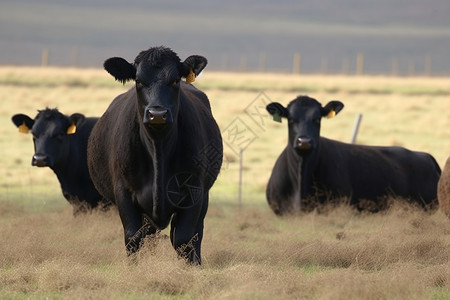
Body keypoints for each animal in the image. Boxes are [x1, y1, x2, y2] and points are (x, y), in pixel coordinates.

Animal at [87, 45, 222, 264]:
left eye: (175, 80)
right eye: (138, 80)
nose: (157, 114)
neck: (158, 149)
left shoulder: (195, 190)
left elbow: (184, 237)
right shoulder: (123, 191)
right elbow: (133, 237)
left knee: (195, 233)